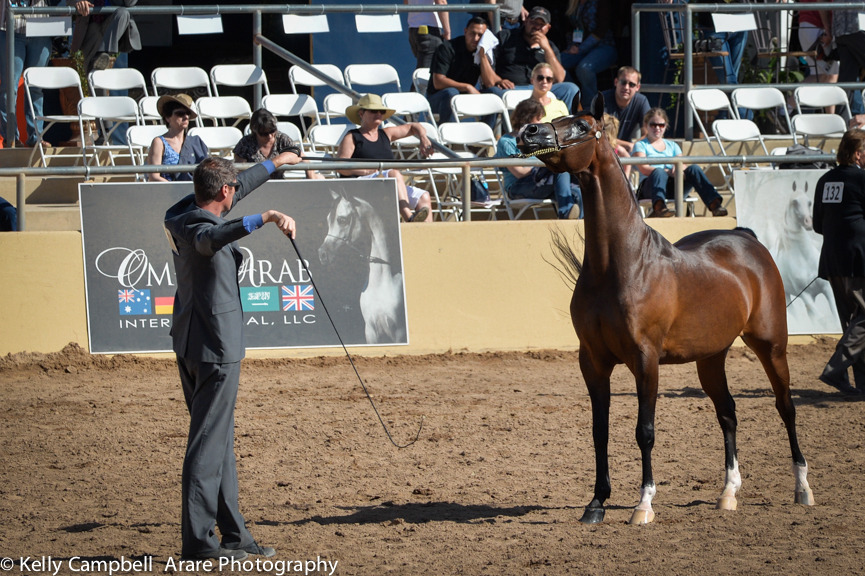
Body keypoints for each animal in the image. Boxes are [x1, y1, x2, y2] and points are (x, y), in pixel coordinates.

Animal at [318, 189, 406, 345]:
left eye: (342, 220)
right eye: (329, 219)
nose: (322, 254)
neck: (381, 284)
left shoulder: (399, 334)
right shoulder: (371, 332)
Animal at [517, 93, 814, 525]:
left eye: (583, 126)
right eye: (557, 116)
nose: (529, 131)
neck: (620, 264)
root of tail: (746, 238)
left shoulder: (646, 359)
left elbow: (645, 431)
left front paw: (643, 505)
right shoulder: (593, 361)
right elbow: (599, 430)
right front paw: (596, 503)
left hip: (771, 345)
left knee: (786, 406)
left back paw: (802, 488)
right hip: (711, 358)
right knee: (728, 412)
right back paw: (728, 493)